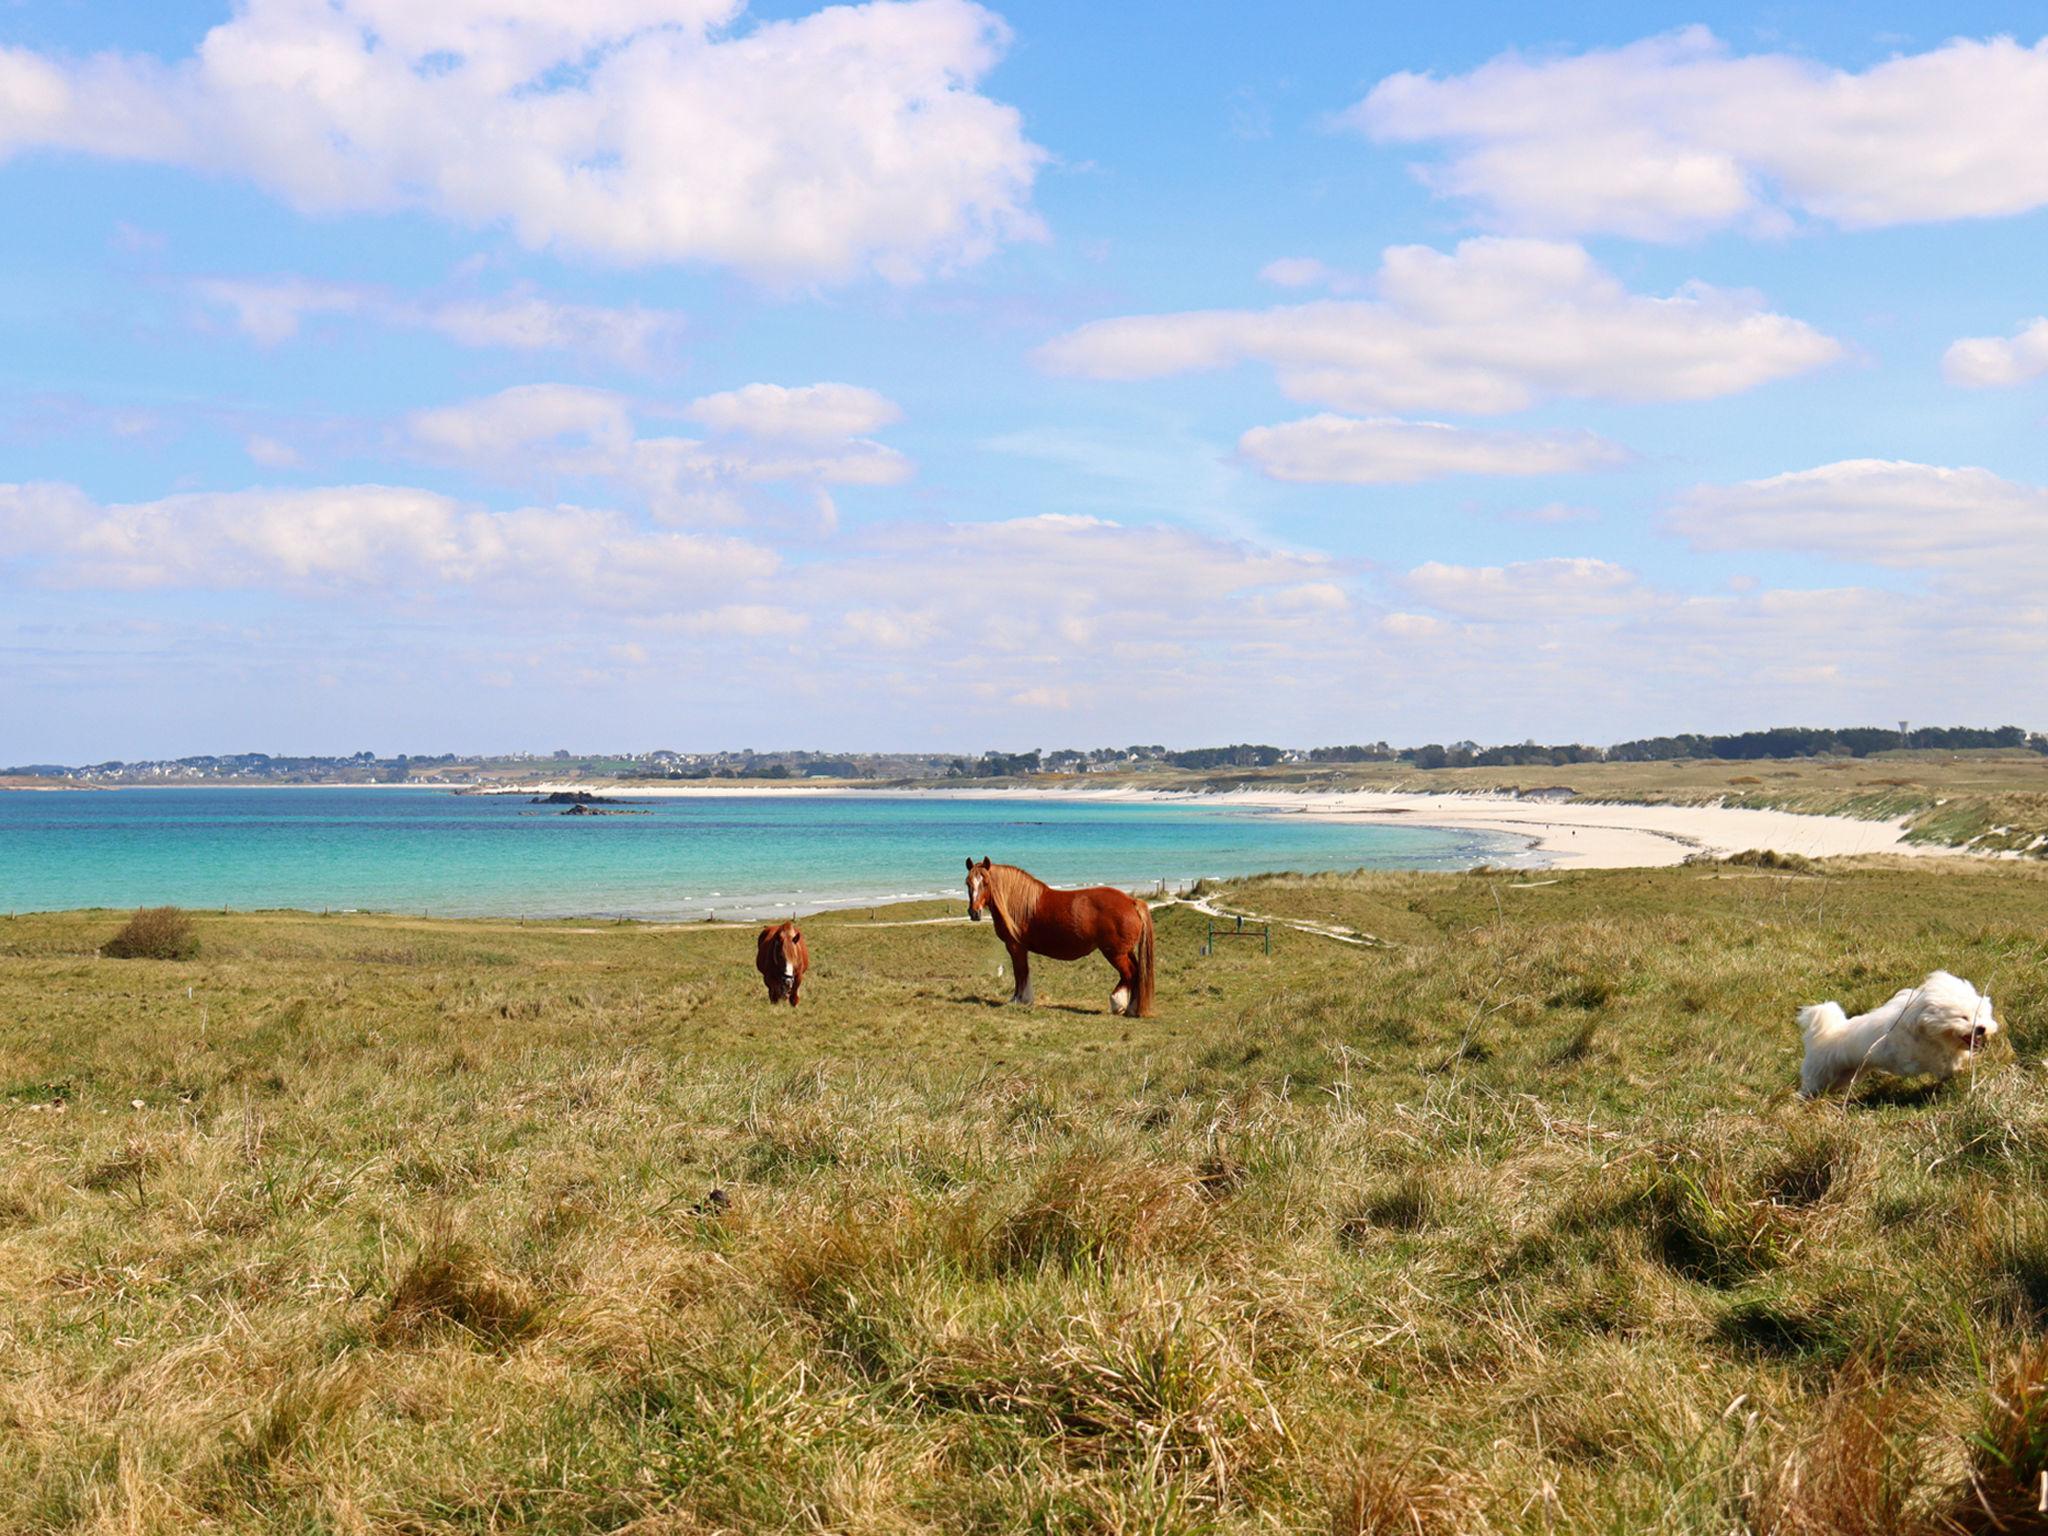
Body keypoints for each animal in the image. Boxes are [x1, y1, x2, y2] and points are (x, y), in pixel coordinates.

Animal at [962, 860, 1155, 1015]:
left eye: (986, 882)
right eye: (968, 883)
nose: (974, 912)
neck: (1018, 903)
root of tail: (1132, 902)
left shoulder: (1015, 947)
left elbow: (1020, 972)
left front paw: (1018, 1000)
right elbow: (1023, 972)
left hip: (1115, 953)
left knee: (1129, 973)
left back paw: (1119, 1005)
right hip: (1126, 951)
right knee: (1136, 972)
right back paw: (1131, 1007)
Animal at [1802, 974, 1990, 1097]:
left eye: (1980, 1014)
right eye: (1963, 1017)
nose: (1981, 1028)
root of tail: (1821, 1036)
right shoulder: (1916, 1056)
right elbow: (1942, 1063)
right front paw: (1956, 1069)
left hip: (1845, 1075)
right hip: (1818, 1075)